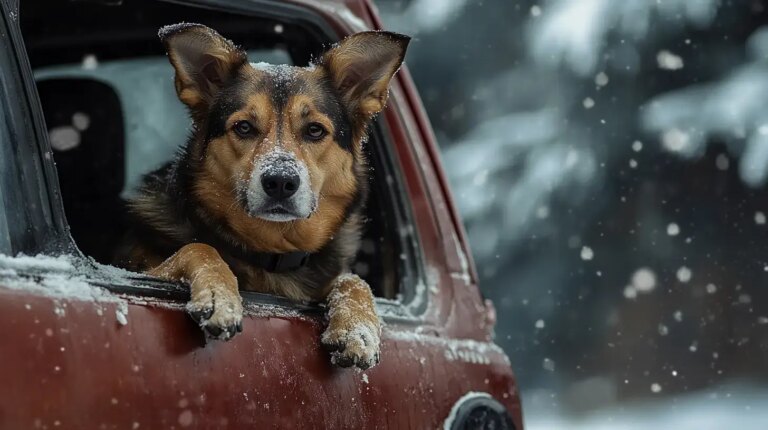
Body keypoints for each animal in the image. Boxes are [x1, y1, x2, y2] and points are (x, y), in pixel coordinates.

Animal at [115, 22, 408, 370]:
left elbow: (353, 280)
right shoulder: (139, 271)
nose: (280, 181)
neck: (272, 250)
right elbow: (198, 247)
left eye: (314, 130)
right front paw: (219, 296)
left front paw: (356, 329)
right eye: (243, 127)